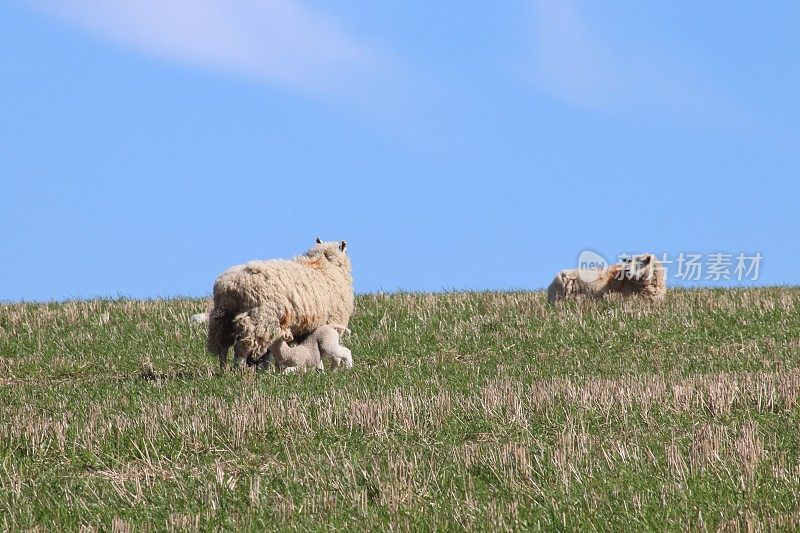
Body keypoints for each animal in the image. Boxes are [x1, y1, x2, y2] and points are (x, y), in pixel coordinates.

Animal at [206, 238, 354, 368]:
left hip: (224, 319)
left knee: (223, 346)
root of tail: (229, 286)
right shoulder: (329, 321)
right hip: (260, 318)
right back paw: (239, 370)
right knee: (241, 347)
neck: (325, 265)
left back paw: (224, 370)